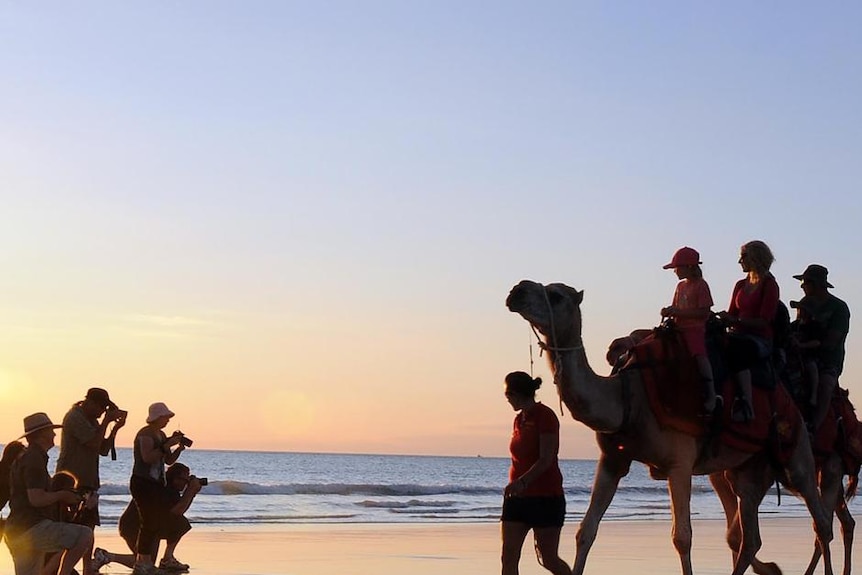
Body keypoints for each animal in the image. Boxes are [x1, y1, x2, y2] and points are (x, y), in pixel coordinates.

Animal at [510, 282, 832, 575]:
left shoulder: (679, 463)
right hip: (747, 470)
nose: (517, 290)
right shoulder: (612, 459)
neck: (626, 398)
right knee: (750, 535)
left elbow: (682, 538)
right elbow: (585, 531)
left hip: (796, 453)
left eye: (556, 295)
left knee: (821, 524)